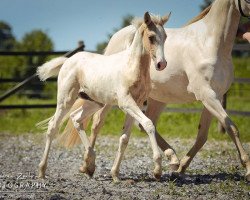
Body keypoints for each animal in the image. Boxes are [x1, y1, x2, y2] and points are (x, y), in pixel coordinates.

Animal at [36, 12, 170, 181]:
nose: (161, 64)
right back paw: (42, 171)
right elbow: (148, 124)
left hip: (94, 102)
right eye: (151, 37)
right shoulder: (126, 102)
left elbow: (124, 138)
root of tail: (68, 60)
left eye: (165, 37)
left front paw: (115, 174)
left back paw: (90, 164)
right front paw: (157, 170)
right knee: (53, 126)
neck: (132, 68)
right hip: (66, 100)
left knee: (76, 118)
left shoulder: (137, 104)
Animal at [57, 0, 250, 181]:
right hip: (110, 99)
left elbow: (203, 136)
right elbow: (232, 128)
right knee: (98, 123)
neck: (209, 43)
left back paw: (173, 159)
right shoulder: (207, 95)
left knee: (146, 124)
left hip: (158, 99)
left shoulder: (213, 97)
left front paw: (181, 168)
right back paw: (88, 166)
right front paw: (247, 168)